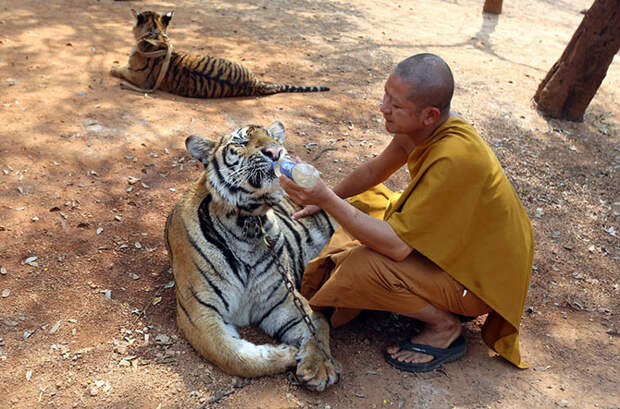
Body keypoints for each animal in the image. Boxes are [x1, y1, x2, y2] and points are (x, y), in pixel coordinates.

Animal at [163, 120, 340, 388]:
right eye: (241, 142)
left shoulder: (283, 299)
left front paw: (318, 365)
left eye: (273, 138)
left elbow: (316, 324)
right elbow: (231, 356)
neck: (248, 223)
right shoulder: (198, 312)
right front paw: (286, 354)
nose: (275, 152)